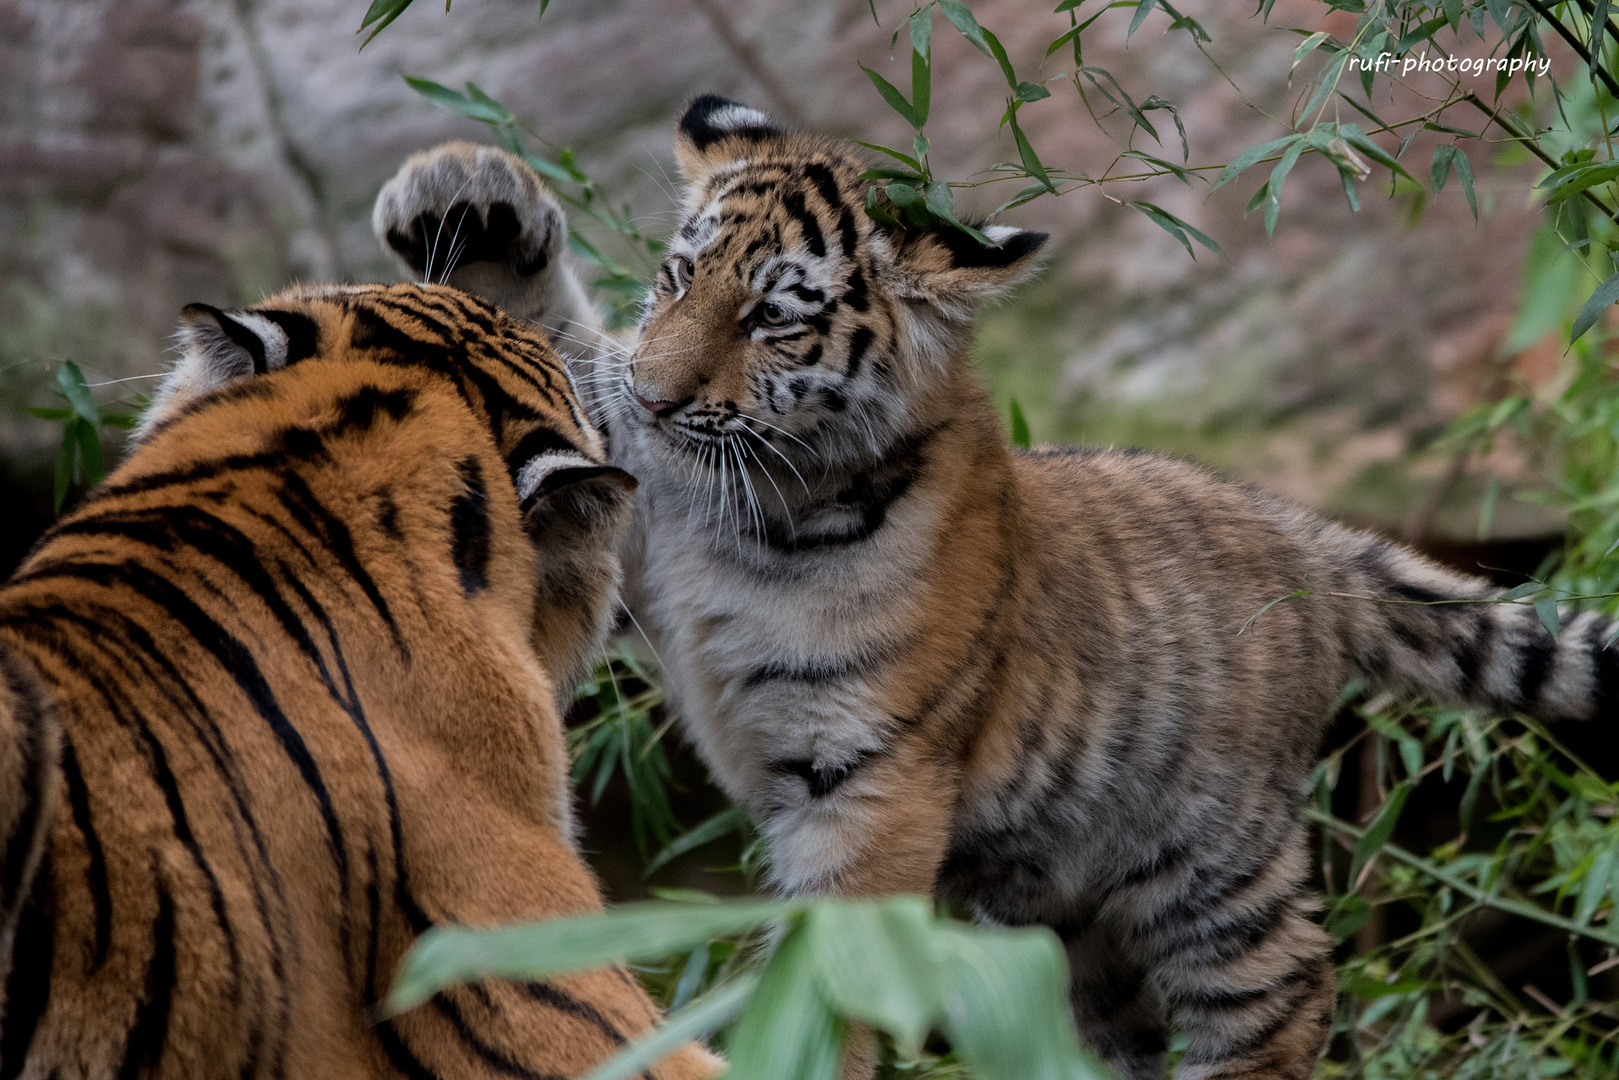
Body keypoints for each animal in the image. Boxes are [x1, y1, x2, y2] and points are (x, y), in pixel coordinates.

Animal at [370, 103, 1619, 1080]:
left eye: (772, 315)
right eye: (677, 277)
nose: (660, 396)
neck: (753, 499)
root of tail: (1297, 534)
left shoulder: (867, 774)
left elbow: (833, 975)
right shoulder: (628, 510)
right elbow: (564, 374)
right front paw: (467, 196)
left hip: (1214, 867)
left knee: (1284, 1000)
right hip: (1070, 917)